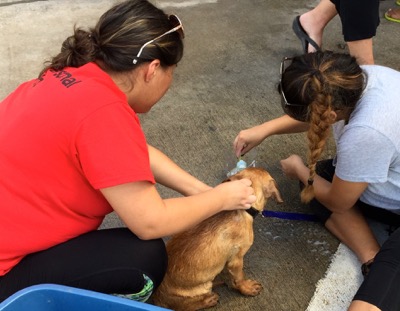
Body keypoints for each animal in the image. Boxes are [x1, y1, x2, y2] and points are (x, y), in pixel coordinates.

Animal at [152, 168, 282, 311]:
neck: (241, 210)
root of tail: (156, 298)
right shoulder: (236, 259)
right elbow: (239, 278)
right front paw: (247, 288)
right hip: (201, 289)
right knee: (187, 306)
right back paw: (208, 300)